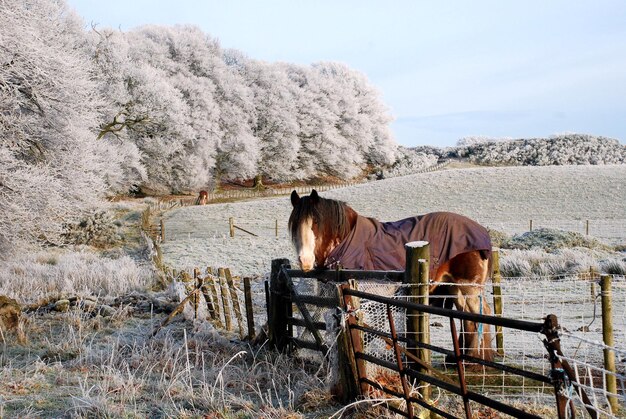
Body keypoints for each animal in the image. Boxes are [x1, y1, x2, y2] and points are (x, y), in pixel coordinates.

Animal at [288, 189, 492, 362]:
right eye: (295, 225)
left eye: (315, 222)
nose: (305, 261)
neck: (346, 241)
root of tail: (480, 231)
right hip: (453, 287)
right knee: (468, 318)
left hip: (469, 287)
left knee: (481, 315)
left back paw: (475, 359)